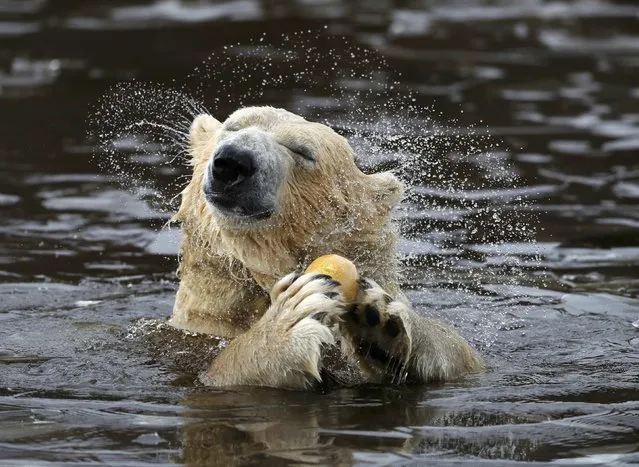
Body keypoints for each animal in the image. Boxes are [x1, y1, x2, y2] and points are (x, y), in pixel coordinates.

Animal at [168, 107, 482, 392]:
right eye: (232, 127)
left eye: (303, 151)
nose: (232, 161)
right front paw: (286, 322)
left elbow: (467, 356)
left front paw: (381, 318)